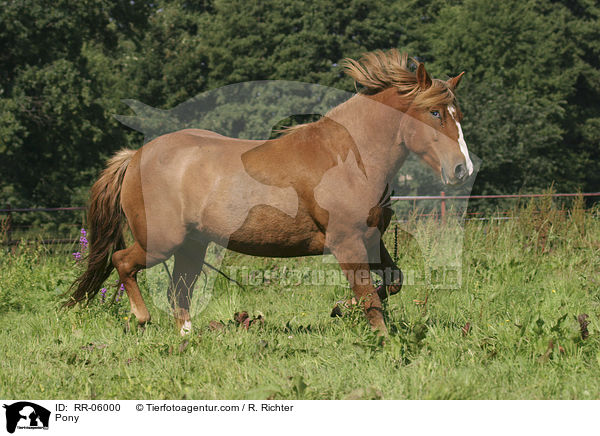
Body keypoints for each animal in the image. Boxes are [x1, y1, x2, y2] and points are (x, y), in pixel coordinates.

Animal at [67, 50, 474, 338]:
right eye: (434, 113)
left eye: (459, 114)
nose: (461, 169)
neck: (351, 158)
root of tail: (134, 157)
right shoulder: (347, 243)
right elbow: (369, 298)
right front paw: (382, 341)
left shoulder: (372, 239)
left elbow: (391, 283)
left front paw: (339, 308)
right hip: (161, 242)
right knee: (123, 262)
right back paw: (141, 318)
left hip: (191, 245)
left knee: (178, 289)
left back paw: (188, 335)